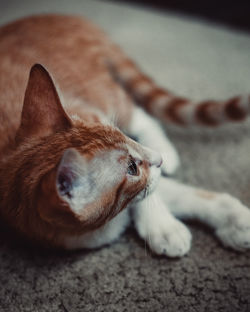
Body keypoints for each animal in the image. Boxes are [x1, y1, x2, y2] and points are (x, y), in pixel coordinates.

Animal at [0, 14, 249, 258]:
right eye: (131, 168)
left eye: (125, 137)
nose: (158, 159)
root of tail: (57, 16)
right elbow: (156, 192)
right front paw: (165, 226)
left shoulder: (95, 113)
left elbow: (169, 193)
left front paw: (164, 224)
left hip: (107, 96)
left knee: (143, 116)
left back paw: (165, 149)